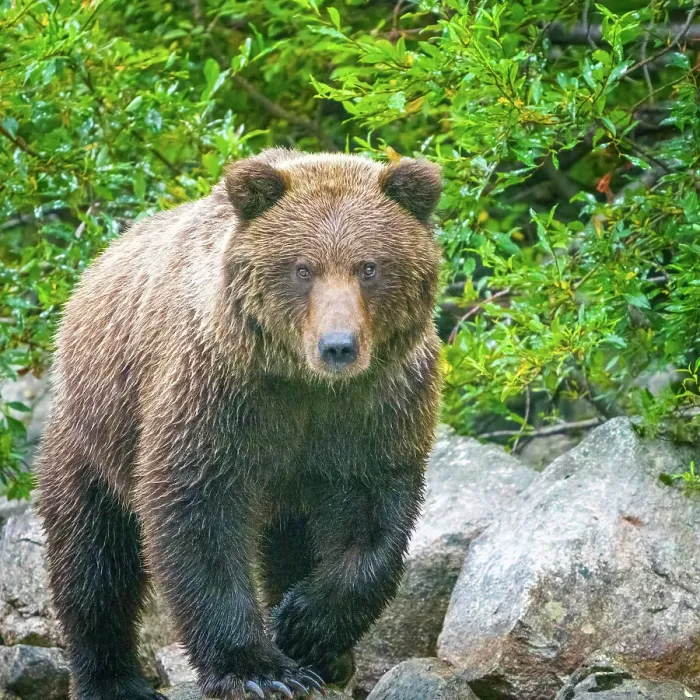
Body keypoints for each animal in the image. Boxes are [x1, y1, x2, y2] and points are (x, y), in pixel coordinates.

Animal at [38, 148, 443, 700]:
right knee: (93, 558)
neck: (305, 384)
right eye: (302, 268)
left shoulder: (376, 408)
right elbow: (198, 516)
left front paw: (304, 627)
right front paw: (260, 669)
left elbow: (373, 520)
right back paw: (112, 679)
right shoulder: (218, 397)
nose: (338, 346)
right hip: (95, 432)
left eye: (369, 266)